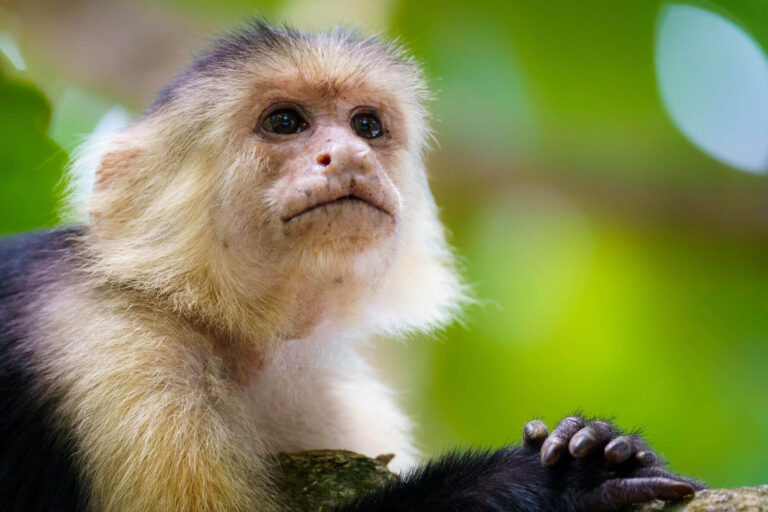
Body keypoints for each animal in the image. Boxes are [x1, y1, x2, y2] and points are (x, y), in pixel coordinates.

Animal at [0, 21, 704, 512]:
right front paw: (553, 475)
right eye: (285, 121)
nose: (350, 156)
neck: (228, 330)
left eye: (366, 126)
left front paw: (592, 438)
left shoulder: (334, 410)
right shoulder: (114, 348)